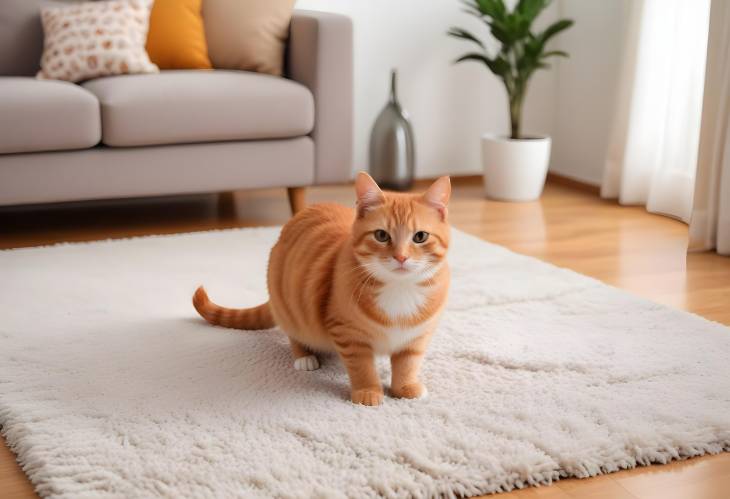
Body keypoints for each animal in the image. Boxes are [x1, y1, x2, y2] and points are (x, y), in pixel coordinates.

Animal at [196, 172, 452, 406]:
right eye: (381, 235)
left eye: (420, 237)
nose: (401, 257)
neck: (400, 289)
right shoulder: (348, 333)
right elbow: (362, 367)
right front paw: (368, 391)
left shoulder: (418, 336)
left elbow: (408, 363)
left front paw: (404, 387)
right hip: (289, 307)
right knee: (294, 334)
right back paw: (304, 357)